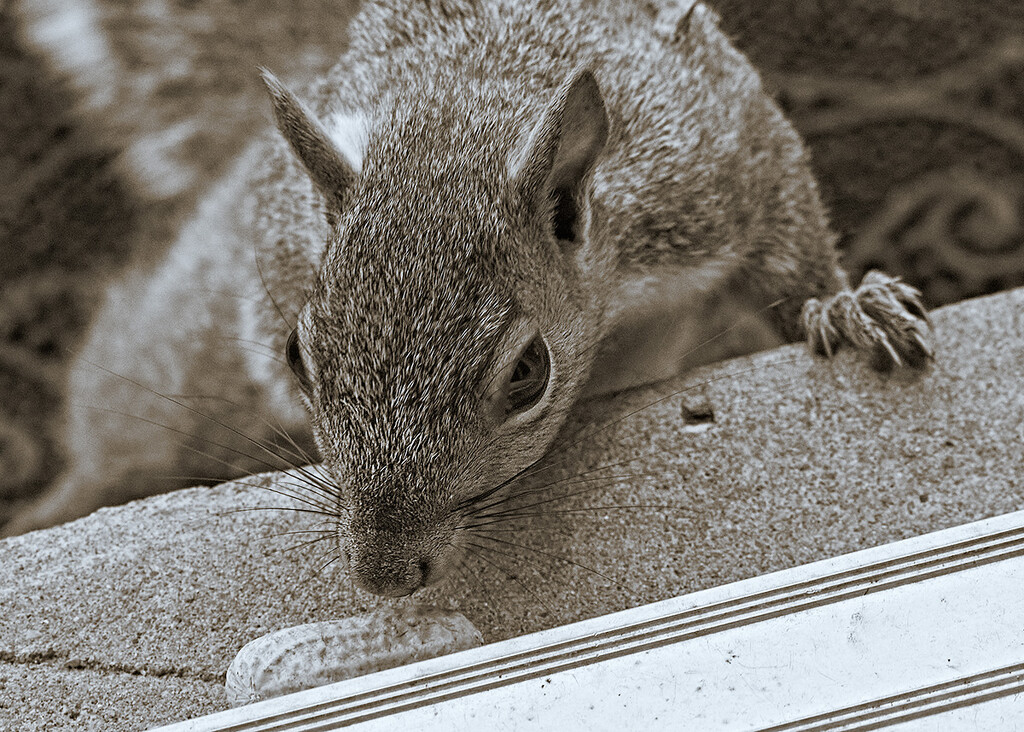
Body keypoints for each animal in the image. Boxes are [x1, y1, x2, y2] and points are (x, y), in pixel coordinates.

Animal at [0, 0, 933, 597]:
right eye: (300, 357)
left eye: (527, 374)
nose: (385, 575)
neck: (462, 107)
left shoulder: (715, 162)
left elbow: (790, 245)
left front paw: (846, 308)